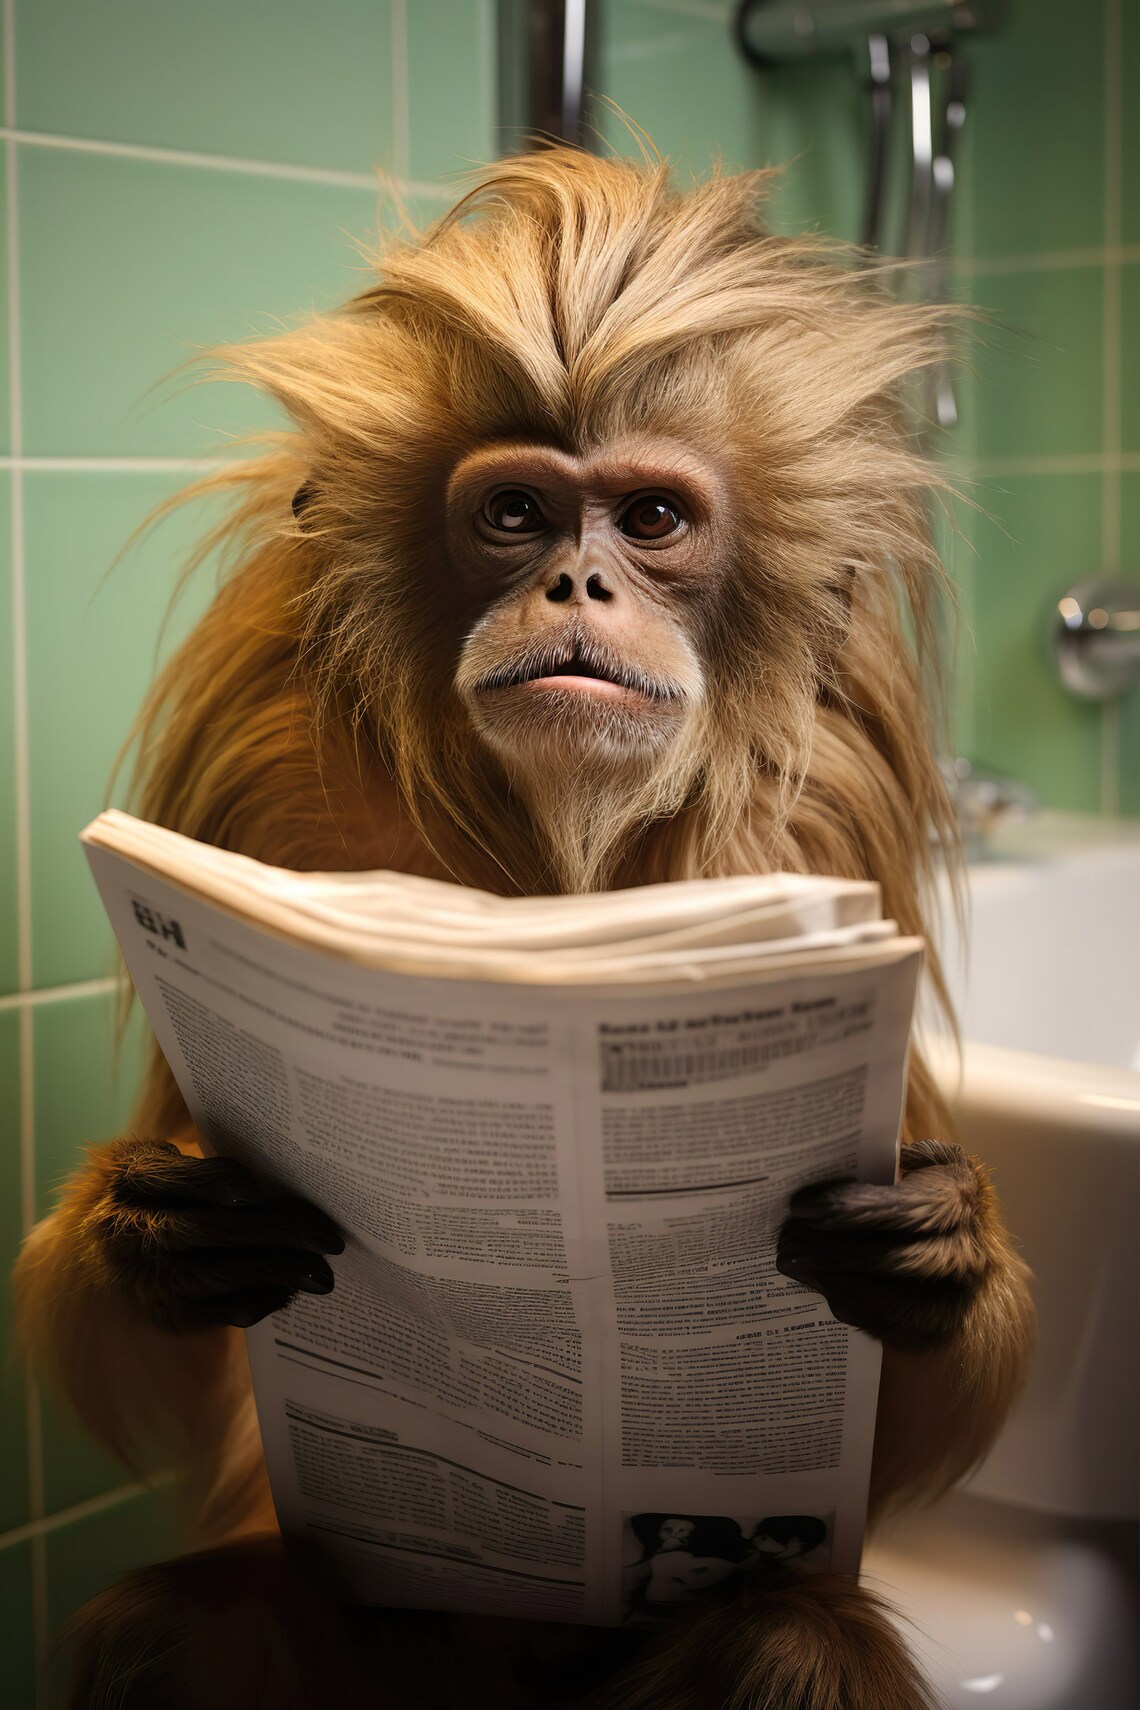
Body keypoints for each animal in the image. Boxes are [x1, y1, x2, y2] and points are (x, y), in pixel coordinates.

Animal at [14, 147, 1034, 1710]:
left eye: (651, 522)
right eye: (516, 517)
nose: (577, 585)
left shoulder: (830, 832)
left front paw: (936, 1256)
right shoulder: (264, 752)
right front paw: (156, 1232)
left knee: (791, 1640)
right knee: (174, 1633)